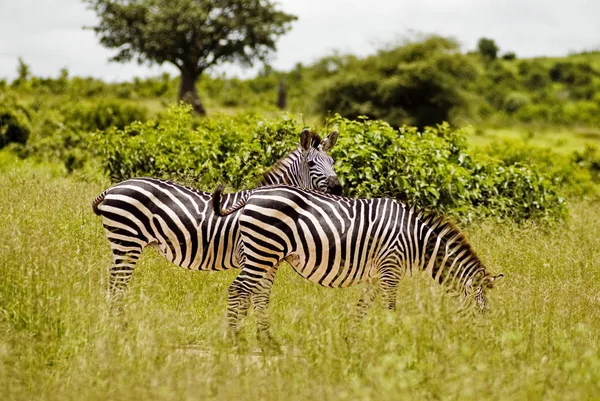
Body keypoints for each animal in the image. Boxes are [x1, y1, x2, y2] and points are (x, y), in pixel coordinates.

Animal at [92, 128, 340, 304]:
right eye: (311, 163)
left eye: (332, 162)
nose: (338, 188)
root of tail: (114, 187)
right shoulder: (253, 257)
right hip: (127, 241)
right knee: (116, 285)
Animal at [213, 183, 504, 346]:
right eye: (481, 311)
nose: (485, 342)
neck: (418, 240)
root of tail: (252, 194)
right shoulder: (391, 268)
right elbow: (389, 307)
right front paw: (392, 337)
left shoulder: (375, 274)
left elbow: (362, 308)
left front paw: (350, 339)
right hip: (263, 249)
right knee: (238, 289)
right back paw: (234, 340)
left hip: (268, 254)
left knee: (257, 294)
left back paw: (265, 341)